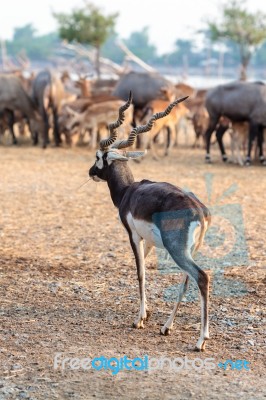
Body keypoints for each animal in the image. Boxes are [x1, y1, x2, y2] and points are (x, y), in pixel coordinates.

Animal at [89, 93, 212, 350]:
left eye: (98, 156)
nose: (90, 172)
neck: (128, 191)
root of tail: (199, 211)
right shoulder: (150, 242)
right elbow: (144, 270)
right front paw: (147, 314)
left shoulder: (133, 235)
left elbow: (140, 273)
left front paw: (139, 320)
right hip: (190, 250)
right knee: (186, 281)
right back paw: (166, 327)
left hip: (177, 250)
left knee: (201, 277)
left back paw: (200, 340)